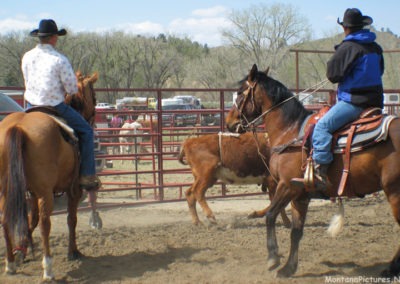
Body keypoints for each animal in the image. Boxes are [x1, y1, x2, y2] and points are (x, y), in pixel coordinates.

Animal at [0, 72, 99, 280]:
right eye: (93, 97)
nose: (92, 120)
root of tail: (18, 127)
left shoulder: (32, 192)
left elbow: (31, 220)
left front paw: (21, 251)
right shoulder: (73, 190)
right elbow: (71, 219)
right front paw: (73, 252)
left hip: (7, 188)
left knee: (6, 219)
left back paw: (10, 263)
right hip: (45, 192)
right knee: (46, 224)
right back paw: (48, 268)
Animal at [227, 63, 400, 278]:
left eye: (240, 92)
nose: (229, 122)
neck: (290, 131)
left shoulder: (288, 186)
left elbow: (270, 216)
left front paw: (273, 258)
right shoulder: (301, 195)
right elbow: (296, 232)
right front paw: (289, 268)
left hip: (394, 192)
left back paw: (390, 269)